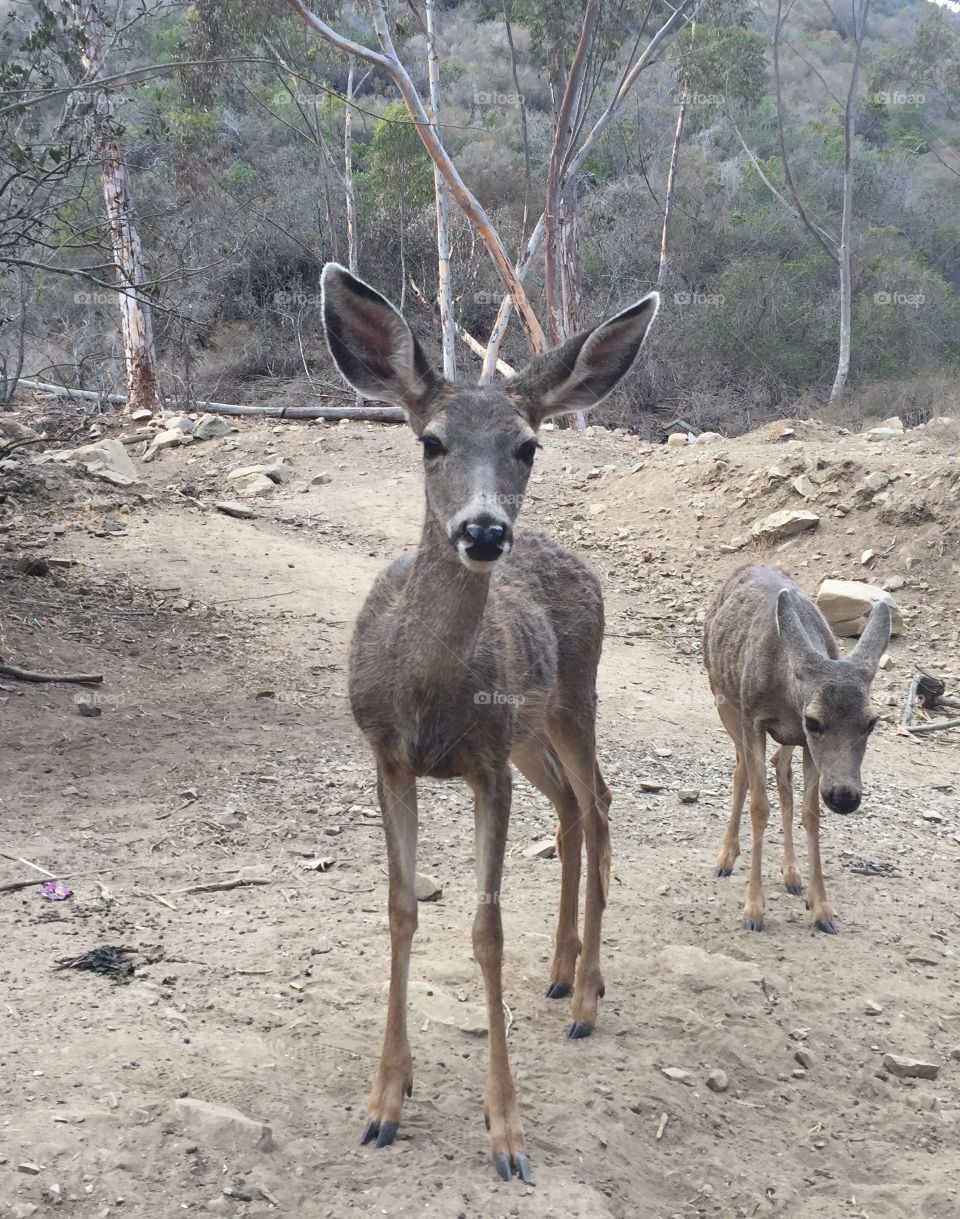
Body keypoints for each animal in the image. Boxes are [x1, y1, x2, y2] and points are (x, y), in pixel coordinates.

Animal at [319, 263, 660, 1182]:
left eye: (528, 445)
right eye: (430, 441)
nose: (482, 529)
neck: (431, 701)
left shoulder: (485, 765)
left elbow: (486, 926)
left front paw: (506, 1130)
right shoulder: (388, 757)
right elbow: (401, 907)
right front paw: (384, 1101)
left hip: (574, 697)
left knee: (601, 801)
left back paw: (587, 994)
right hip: (532, 732)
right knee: (573, 808)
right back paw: (562, 970)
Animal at [702, 563, 891, 935]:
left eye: (872, 721)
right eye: (814, 720)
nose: (845, 797)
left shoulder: (804, 744)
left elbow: (811, 813)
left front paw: (822, 909)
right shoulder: (754, 718)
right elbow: (759, 806)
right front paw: (753, 910)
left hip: (784, 739)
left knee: (782, 771)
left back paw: (792, 874)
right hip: (722, 696)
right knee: (741, 768)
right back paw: (726, 857)